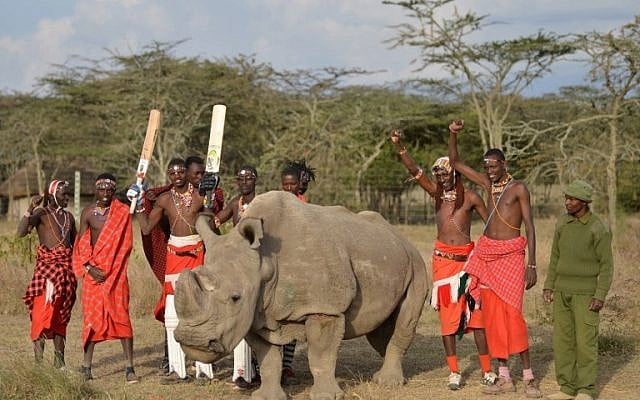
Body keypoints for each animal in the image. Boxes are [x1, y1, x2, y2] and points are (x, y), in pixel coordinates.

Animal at [174, 191, 428, 400]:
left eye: (235, 298)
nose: (192, 341)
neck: (265, 261)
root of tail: (399, 236)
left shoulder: (324, 307)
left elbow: (320, 354)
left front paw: (326, 396)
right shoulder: (255, 313)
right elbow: (268, 358)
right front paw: (266, 397)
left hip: (416, 262)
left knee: (405, 320)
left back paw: (388, 383)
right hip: (384, 257)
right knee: (379, 330)